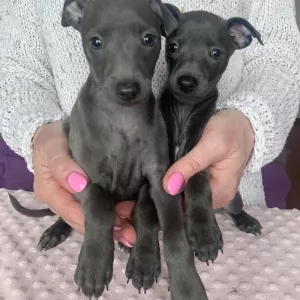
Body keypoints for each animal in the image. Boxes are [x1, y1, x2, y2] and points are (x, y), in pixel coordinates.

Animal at [8, 0, 209, 298]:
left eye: (149, 39)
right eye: (96, 42)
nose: (127, 89)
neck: (123, 118)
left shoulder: (159, 180)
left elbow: (170, 231)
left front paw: (185, 283)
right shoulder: (85, 179)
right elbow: (100, 209)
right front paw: (93, 264)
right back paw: (57, 230)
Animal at [159, 5, 262, 264]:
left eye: (215, 53)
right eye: (172, 47)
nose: (186, 82)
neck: (184, 109)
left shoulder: (199, 150)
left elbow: (197, 181)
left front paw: (204, 233)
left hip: (233, 198)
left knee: (235, 208)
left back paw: (245, 220)